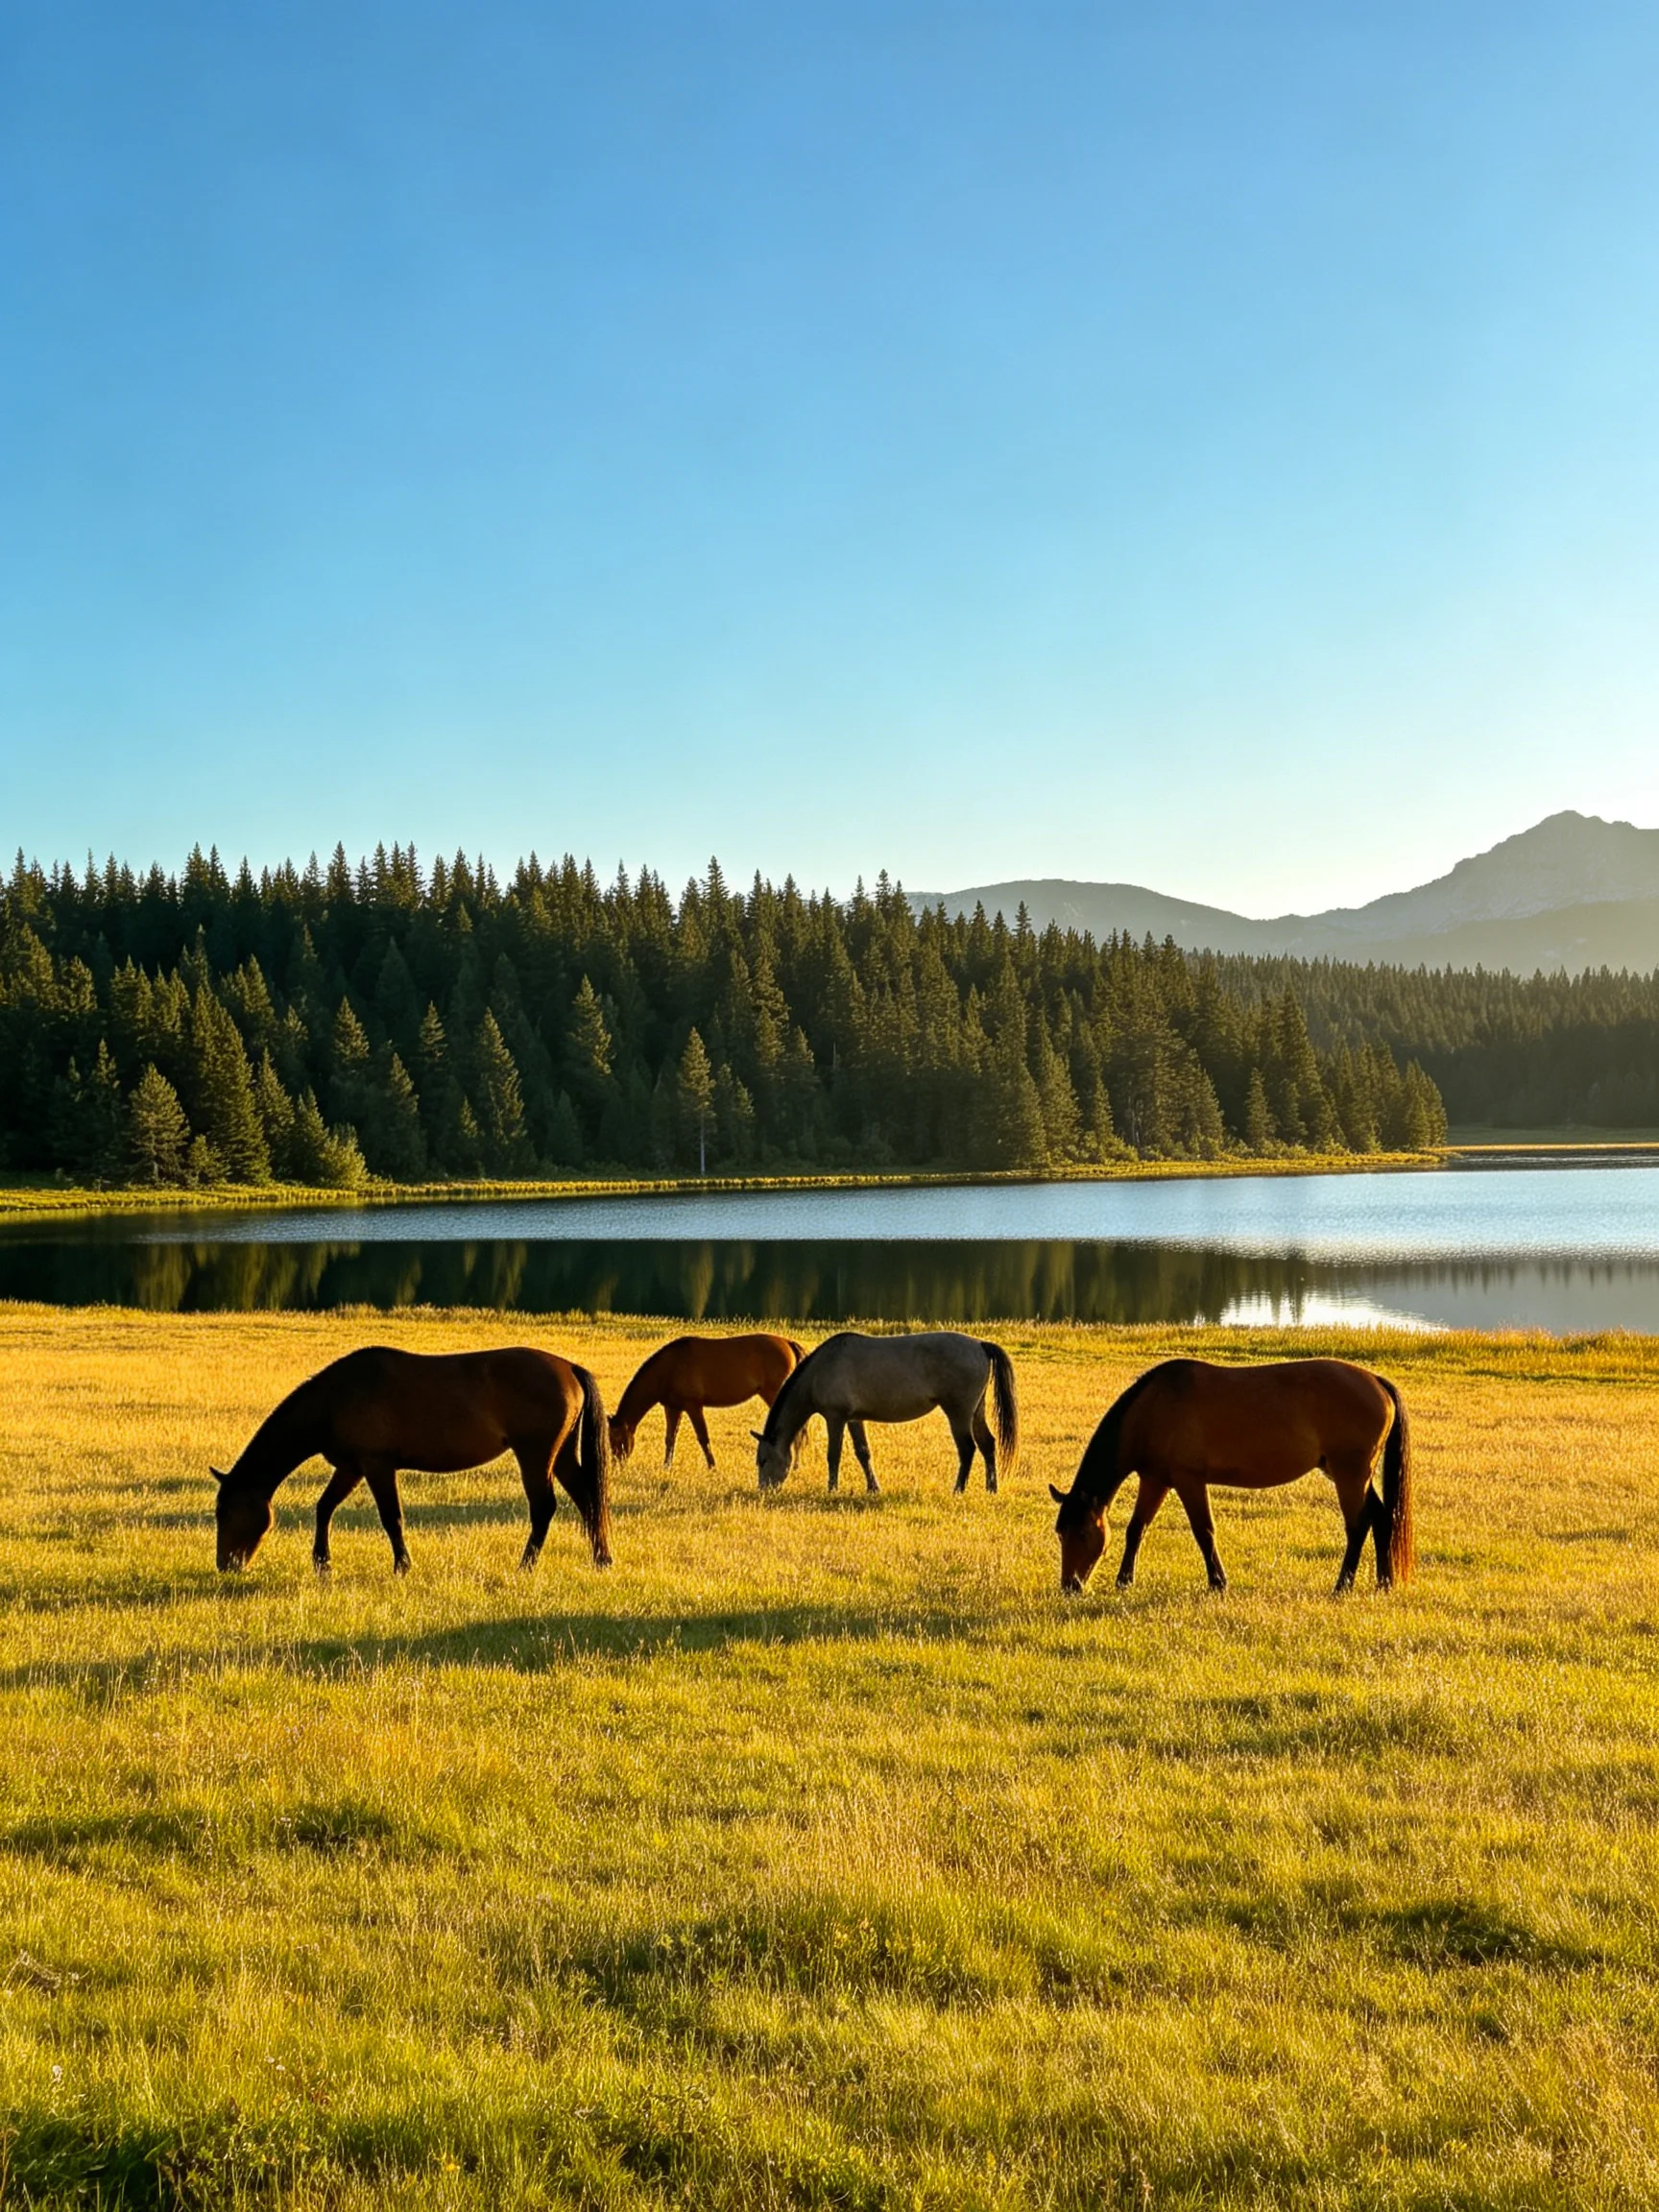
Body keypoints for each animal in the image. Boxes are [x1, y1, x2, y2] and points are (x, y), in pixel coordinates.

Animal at [212, 1346, 612, 1576]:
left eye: (228, 1513)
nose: (225, 1565)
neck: (335, 1397)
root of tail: (568, 1367)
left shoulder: (376, 1465)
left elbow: (391, 1518)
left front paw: (402, 1566)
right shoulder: (352, 1467)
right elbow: (324, 1507)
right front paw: (322, 1563)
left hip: (535, 1455)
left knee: (544, 1508)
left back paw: (526, 1565)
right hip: (561, 1456)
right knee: (587, 1500)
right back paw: (601, 1559)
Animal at [609, 1331, 806, 1468]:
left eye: (617, 1439)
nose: (616, 1465)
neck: (669, 1368)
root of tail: (788, 1343)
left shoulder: (693, 1406)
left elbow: (703, 1438)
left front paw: (712, 1466)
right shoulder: (672, 1407)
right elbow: (670, 1438)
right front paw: (666, 1466)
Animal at [754, 1330, 1019, 1494]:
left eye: (763, 1460)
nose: (764, 1491)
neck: (821, 1370)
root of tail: (980, 1345)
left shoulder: (835, 1417)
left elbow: (834, 1454)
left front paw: (832, 1488)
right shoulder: (854, 1418)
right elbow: (863, 1452)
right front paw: (873, 1488)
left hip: (958, 1413)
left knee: (967, 1448)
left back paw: (958, 1489)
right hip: (976, 1412)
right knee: (988, 1444)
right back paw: (991, 1488)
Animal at [1050, 1357, 1412, 1596]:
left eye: (1082, 1533)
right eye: (1060, 1533)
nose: (1071, 1586)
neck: (1153, 1408)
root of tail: (1376, 1381)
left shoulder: (1189, 1480)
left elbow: (1204, 1531)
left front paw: (1218, 1582)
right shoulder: (1156, 1480)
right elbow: (1136, 1529)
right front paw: (1124, 1581)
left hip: (1349, 1473)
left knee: (1358, 1525)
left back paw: (1342, 1586)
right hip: (1352, 1474)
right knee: (1382, 1517)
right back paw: (1384, 1582)